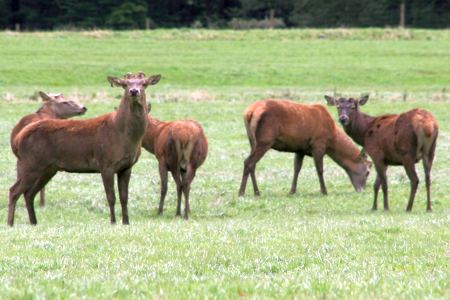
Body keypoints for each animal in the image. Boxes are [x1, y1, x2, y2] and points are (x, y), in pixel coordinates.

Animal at [7, 72, 161, 226]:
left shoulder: (127, 166)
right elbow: (111, 197)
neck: (124, 137)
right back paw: (10, 223)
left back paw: (34, 222)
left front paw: (126, 222)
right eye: (124, 84)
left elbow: (124, 197)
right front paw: (112, 222)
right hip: (31, 163)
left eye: (144, 83)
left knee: (29, 193)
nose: (134, 91)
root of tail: (18, 138)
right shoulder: (106, 163)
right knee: (14, 190)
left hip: (48, 168)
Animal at [237, 98, 370, 197]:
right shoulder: (318, 144)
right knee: (248, 162)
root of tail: (249, 112)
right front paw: (324, 191)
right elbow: (320, 169)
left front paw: (292, 191)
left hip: (252, 141)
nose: (362, 190)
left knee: (252, 164)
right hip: (265, 140)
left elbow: (297, 168)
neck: (331, 141)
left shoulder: (299, 149)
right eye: (368, 172)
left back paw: (255, 192)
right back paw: (243, 192)